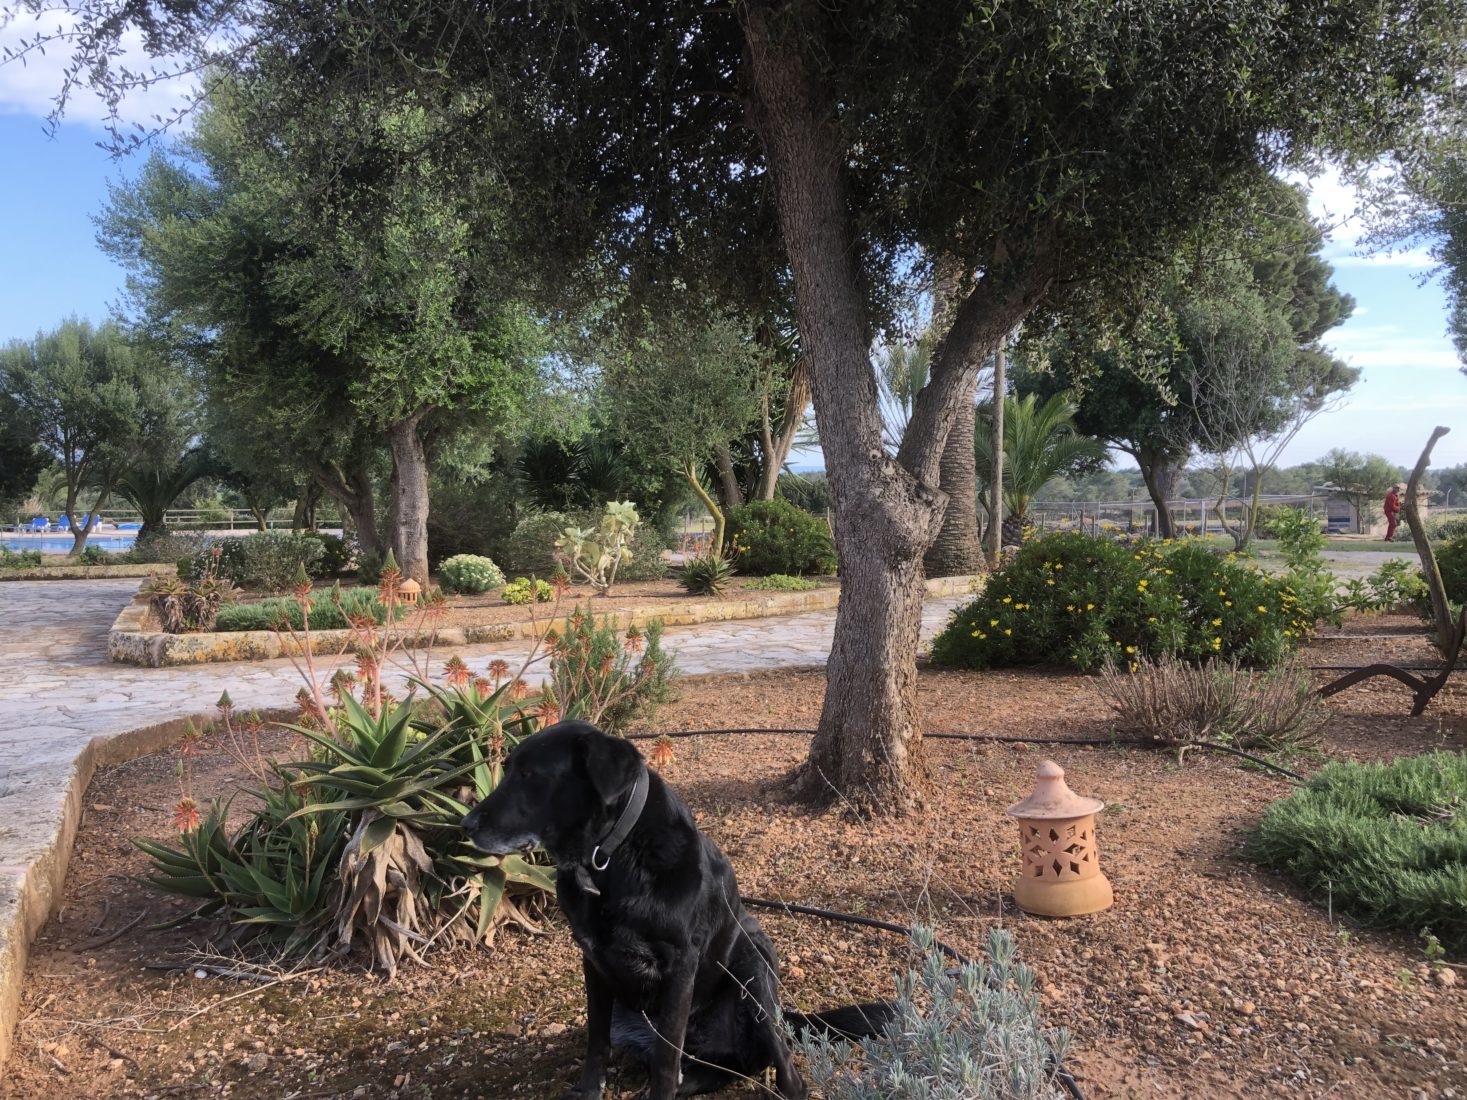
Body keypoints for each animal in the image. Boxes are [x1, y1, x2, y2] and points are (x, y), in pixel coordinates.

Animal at [460, 724, 868, 1100]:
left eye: (529, 775)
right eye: (507, 770)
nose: (465, 825)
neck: (612, 858)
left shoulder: (680, 966)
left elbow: (666, 1059)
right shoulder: (593, 960)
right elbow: (597, 1041)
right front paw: (589, 1091)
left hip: (753, 963)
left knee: (780, 1063)